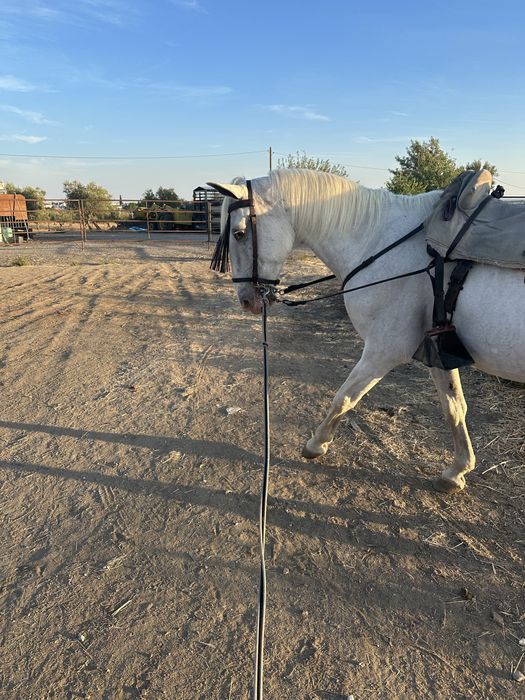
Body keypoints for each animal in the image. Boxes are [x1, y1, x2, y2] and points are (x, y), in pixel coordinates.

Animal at [208, 169, 525, 493]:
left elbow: (344, 398)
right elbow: (454, 407)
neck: (379, 240)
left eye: (239, 234)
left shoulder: (382, 352)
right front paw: (457, 470)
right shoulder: (438, 354)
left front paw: (316, 444)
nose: (246, 301)